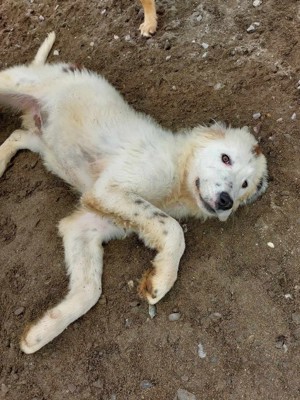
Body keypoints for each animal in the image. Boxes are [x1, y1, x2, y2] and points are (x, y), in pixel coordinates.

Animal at [0, 33, 268, 354]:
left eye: (245, 185)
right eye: (225, 158)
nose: (227, 202)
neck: (178, 175)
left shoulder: (86, 225)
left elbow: (89, 289)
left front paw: (40, 333)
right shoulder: (109, 191)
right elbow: (172, 228)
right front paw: (162, 279)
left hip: (44, 144)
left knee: (17, 135)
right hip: (17, 86)